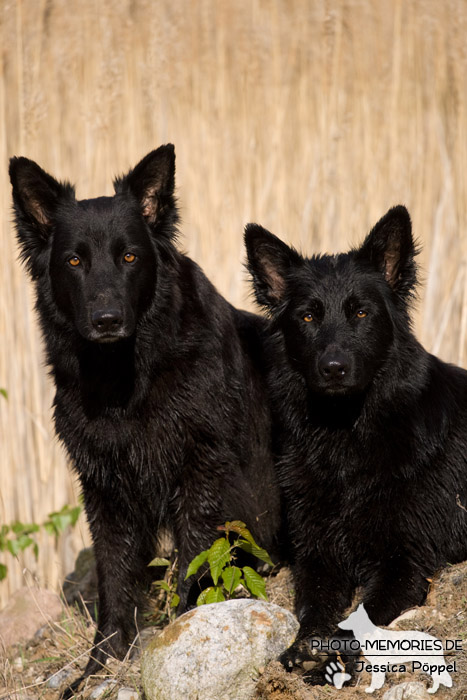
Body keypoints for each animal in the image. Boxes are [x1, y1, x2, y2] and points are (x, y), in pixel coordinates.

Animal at [10, 145, 282, 692]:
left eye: (130, 257)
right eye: (74, 260)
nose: (107, 320)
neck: (124, 383)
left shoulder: (201, 476)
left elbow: (192, 562)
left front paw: (176, 635)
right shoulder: (105, 489)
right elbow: (115, 584)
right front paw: (99, 669)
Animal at [245, 204, 467, 684]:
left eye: (361, 313)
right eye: (308, 317)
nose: (333, 368)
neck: (345, 439)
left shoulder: (403, 564)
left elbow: (358, 618)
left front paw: (329, 654)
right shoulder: (317, 559)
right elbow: (313, 610)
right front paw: (307, 646)